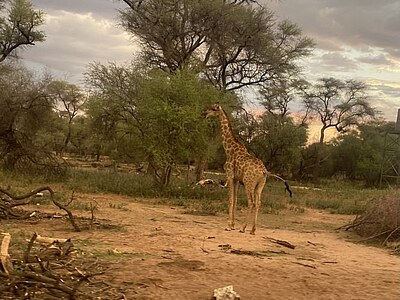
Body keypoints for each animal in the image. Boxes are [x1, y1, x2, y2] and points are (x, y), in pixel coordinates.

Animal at [203, 103, 290, 234]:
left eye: (213, 109)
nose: (204, 113)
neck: (228, 149)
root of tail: (264, 171)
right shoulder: (237, 179)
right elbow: (235, 200)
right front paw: (232, 225)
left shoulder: (230, 175)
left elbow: (230, 199)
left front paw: (229, 226)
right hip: (260, 185)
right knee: (258, 202)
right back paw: (253, 229)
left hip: (249, 183)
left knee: (251, 202)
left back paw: (243, 227)